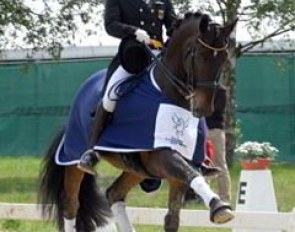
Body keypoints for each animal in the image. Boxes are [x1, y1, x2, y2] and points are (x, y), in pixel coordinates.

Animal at [38, 11, 238, 231]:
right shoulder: (162, 154)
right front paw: (220, 207)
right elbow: (193, 175)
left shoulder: (180, 166)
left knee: (114, 193)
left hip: (137, 170)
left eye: (224, 58)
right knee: (71, 204)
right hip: (73, 159)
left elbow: (173, 217)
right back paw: (87, 160)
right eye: (200, 55)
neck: (169, 92)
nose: (204, 108)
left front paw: (217, 207)